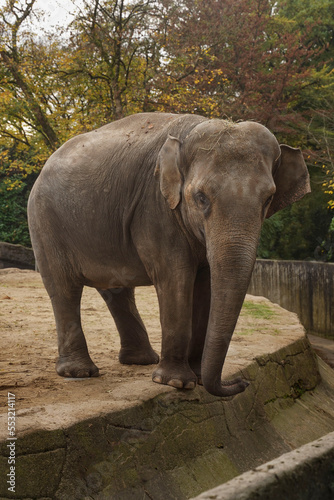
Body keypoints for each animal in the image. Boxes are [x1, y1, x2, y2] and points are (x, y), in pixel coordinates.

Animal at [26, 111, 310, 396]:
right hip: (44, 222)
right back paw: (80, 372)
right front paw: (176, 382)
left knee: (116, 291)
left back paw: (140, 360)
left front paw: (196, 377)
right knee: (63, 288)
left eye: (268, 199)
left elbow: (205, 284)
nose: (242, 383)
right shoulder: (156, 209)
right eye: (201, 197)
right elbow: (176, 279)